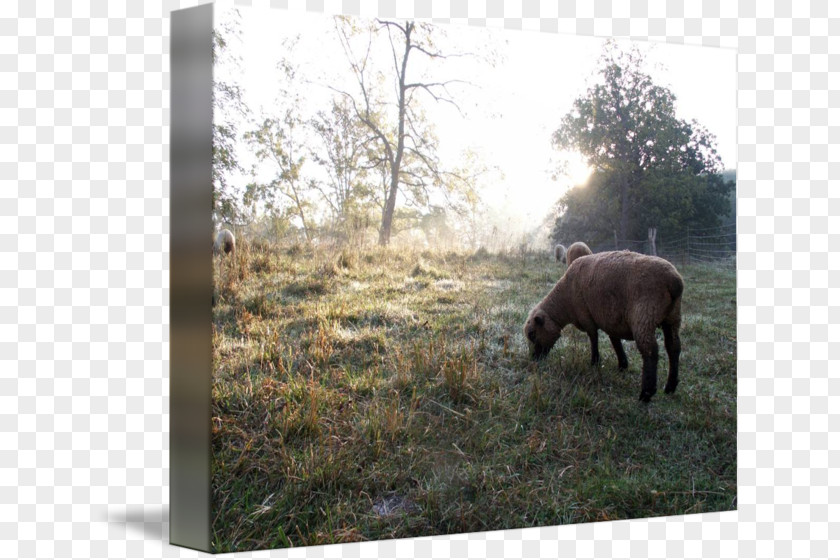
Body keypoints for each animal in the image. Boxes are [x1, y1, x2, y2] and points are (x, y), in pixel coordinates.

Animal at [520, 250, 684, 402]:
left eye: (532, 334)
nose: (534, 359)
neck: (565, 301)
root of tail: (674, 281)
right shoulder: (611, 319)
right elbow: (615, 341)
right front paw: (622, 365)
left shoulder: (586, 315)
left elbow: (594, 338)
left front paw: (595, 362)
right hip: (673, 318)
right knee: (673, 346)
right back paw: (670, 387)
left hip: (645, 315)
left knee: (650, 351)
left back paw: (646, 393)